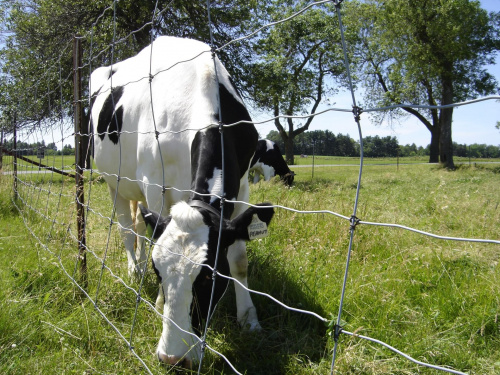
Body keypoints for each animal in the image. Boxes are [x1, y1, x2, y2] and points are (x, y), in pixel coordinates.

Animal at [92, 36, 276, 370]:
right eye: (159, 272)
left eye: (209, 277)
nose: (173, 358)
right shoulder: (154, 183)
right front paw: (158, 301)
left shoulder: (242, 188)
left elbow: (240, 260)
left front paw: (249, 319)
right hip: (114, 182)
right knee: (126, 229)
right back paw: (134, 270)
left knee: (140, 226)